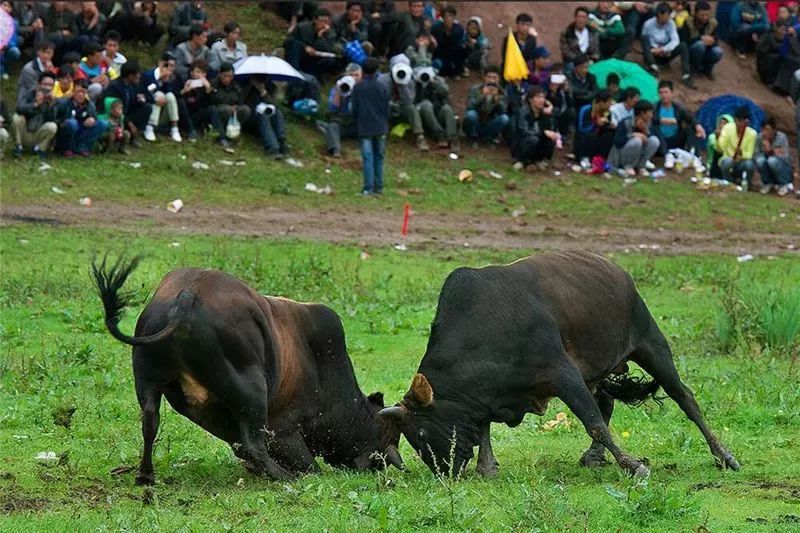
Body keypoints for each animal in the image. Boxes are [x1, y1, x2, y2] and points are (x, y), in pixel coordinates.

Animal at [93, 256, 404, 484]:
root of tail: (187, 297)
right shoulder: (284, 428)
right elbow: (305, 464)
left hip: (147, 379)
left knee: (150, 421)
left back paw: (145, 475)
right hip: (253, 390)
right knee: (255, 445)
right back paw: (283, 477)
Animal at [378, 251, 740, 476]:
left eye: (420, 433)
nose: (444, 471)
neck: (481, 327)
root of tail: (619, 272)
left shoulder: (562, 374)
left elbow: (593, 421)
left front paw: (632, 464)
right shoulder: (489, 393)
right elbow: (483, 425)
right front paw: (487, 467)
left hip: (651, 345)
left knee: (685, 398)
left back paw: (723, 454)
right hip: (598, 371)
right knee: (608, 402)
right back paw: (594, 456)